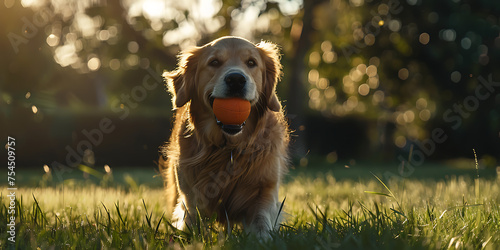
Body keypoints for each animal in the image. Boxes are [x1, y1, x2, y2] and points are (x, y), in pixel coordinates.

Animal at [157, 36, 290, 237]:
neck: (229, 148)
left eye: (251, 62)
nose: (236, 79)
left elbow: (262, 223)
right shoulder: (191, 196)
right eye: (214, 62)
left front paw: (262, 238)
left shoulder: (265, 190)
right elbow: (191, 224)